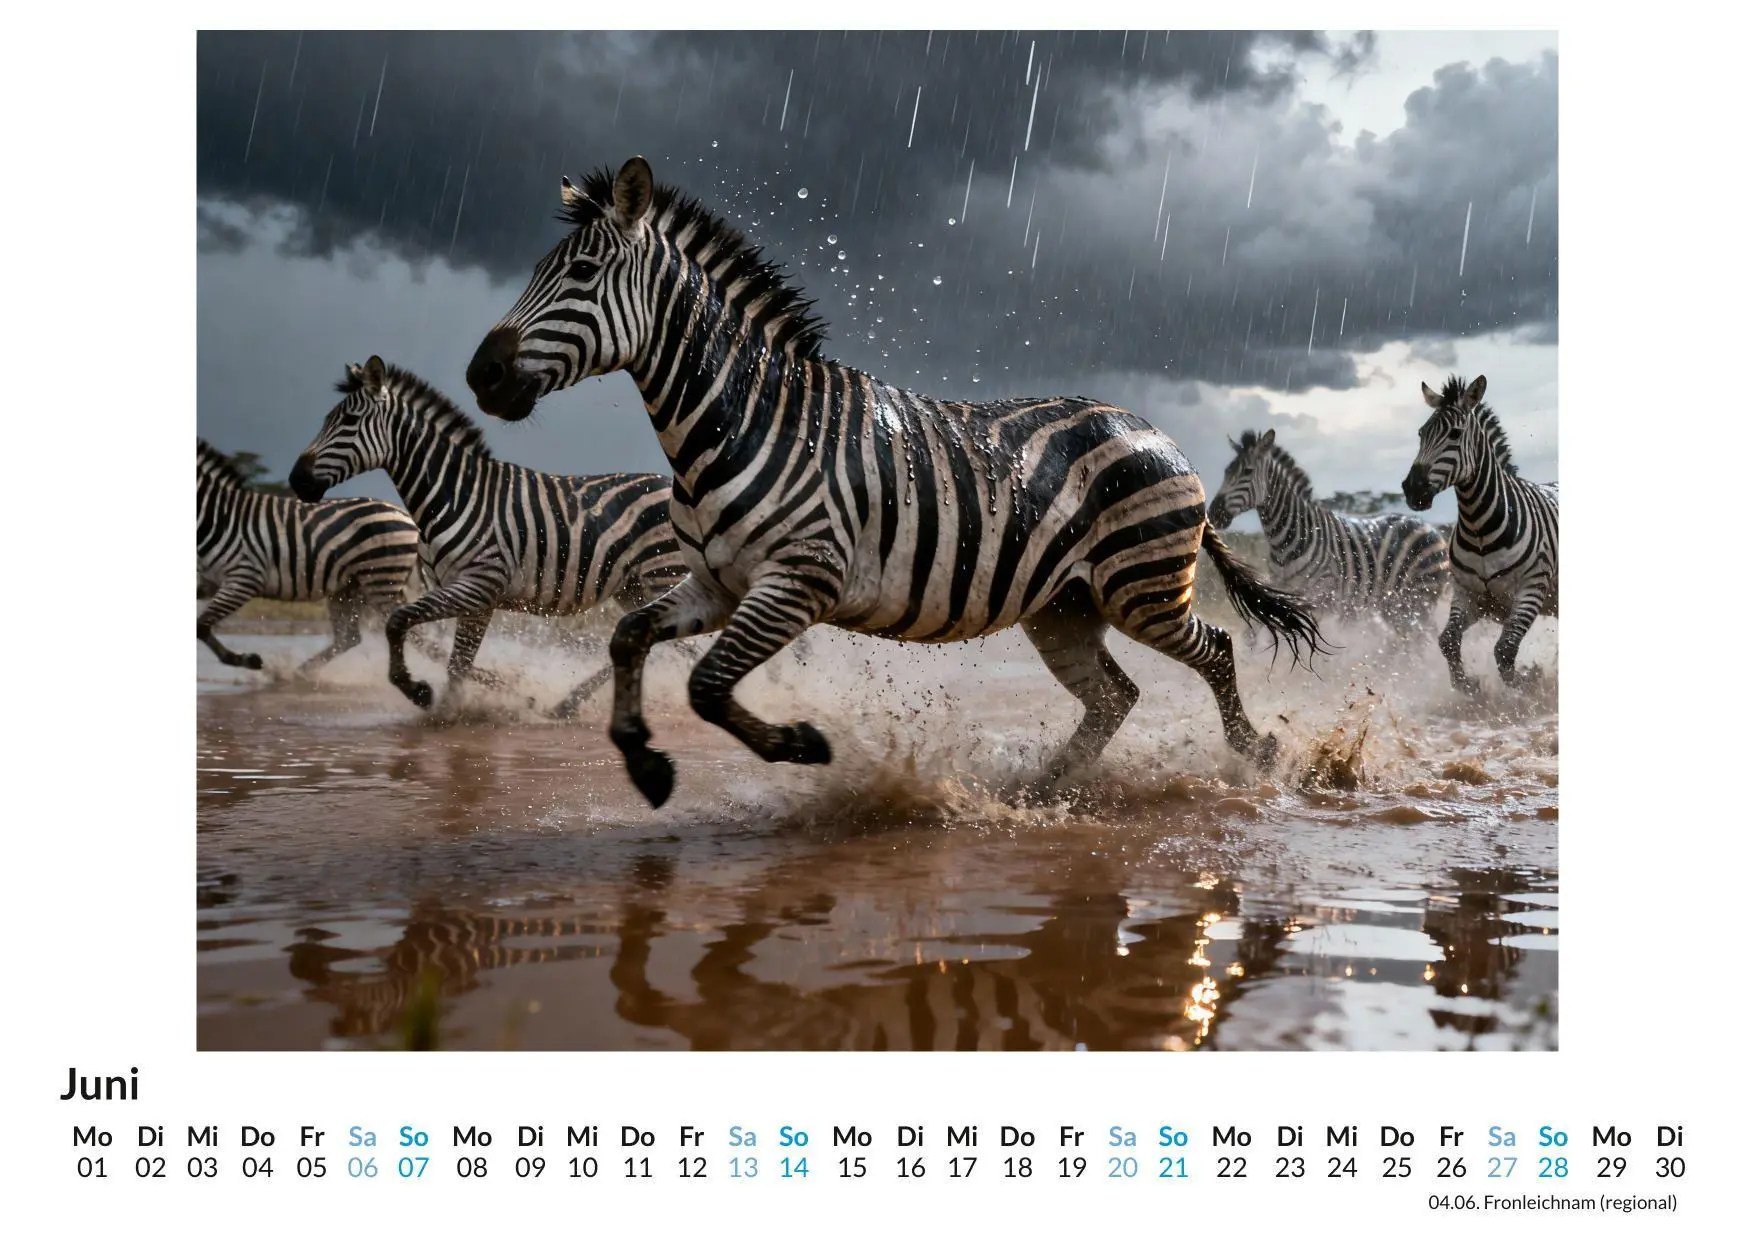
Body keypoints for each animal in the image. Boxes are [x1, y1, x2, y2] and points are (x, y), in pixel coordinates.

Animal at [196, 438, 423, 675]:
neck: (219, 517)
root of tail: (407, 517)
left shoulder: (244, 578)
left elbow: (201, 626)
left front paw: (249, 660)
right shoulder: (207, 581)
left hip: (381, 582)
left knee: (410, 630)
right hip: (350, 589)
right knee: (350, 637)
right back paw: (298, 674)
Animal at [289, 356, 688, 718]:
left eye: (348, 422)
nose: (296, 480)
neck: (452, 495)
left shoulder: (480, 586)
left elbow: (401, 622)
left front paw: (424, 697)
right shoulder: (473, 596)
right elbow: (456, 662)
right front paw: (454, 708)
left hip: (662, 574)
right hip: (634, 588)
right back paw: (568, 703)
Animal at [462, 156, 1323, 807]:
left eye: (581, 272)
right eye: (539, 270)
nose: (482, 375)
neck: (737, 423)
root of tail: (1156, 432)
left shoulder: (797, 582)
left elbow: (706, 686)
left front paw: (800, 745)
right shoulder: (716, 582)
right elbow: (628, 637)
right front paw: (643, 763)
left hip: (1140, 587)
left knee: (1215, 649)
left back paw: (1257, 758)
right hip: (1065, 606)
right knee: (1114, 696)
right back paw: (1040, 791)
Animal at [1208, 429, 1449, 632]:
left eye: (1247, 472)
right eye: (1226, 472)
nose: (1213, 513)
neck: (1286, 541)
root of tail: (1430, 527)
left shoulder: (1321, 599)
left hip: (1418, 600)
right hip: (1394, 607)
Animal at [1401, 374, 1558, 692]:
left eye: (1455, 434)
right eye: (1421, 434)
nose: (1413, 489)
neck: (1478, 526)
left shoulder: (1531, 589)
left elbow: (1505, 649)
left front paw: (1528, 686)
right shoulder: (1468, 593)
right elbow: (1448, 640)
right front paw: (1468, 687)